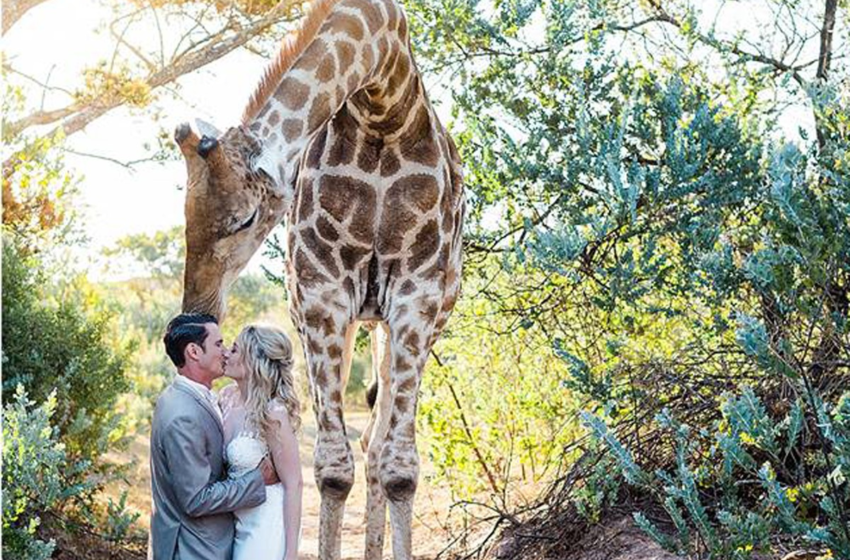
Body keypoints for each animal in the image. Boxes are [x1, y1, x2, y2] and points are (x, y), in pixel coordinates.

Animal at [174, 0, 464, 556]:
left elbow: (399, 469)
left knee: (377, 445)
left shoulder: (417, 296)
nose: (197, 309)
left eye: (245, 218)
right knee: (366, 445)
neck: (385, 106)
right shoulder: (321, 294)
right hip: (352, 320)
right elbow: (332, 469)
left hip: (409, 320)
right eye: (184, 216)